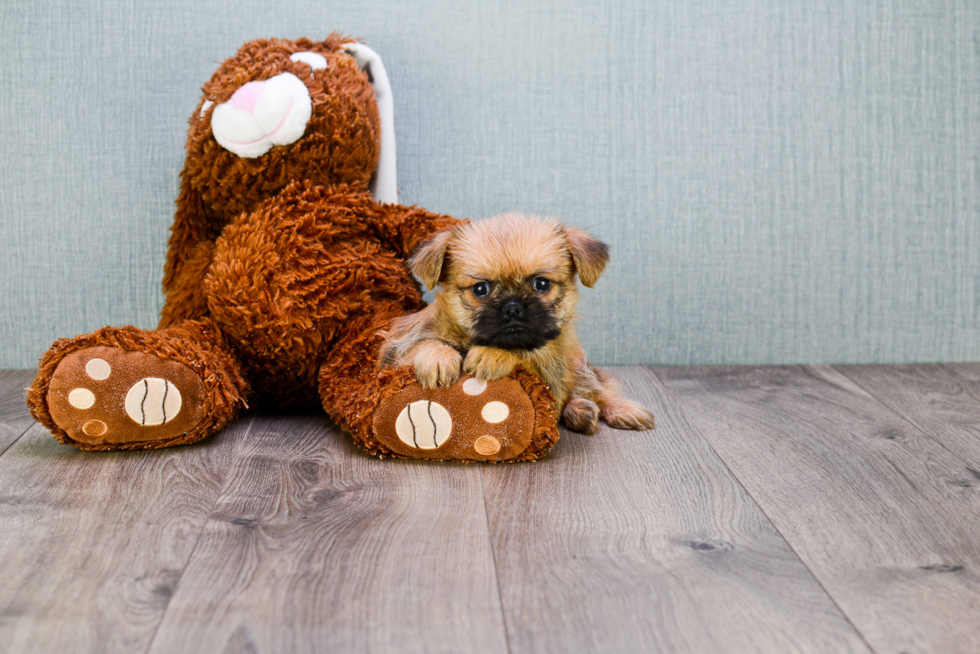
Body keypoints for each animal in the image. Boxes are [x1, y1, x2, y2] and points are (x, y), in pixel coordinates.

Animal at [378, 214, 656, 436]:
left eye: (541, 284)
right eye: (480, 289)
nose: (512, 307)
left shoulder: (551, 367)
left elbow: (527, 353)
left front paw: (491, 355)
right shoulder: (395, 350)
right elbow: (422, 344)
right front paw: (438, 357)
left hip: (580, 365)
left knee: (599, 388)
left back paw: (619, 409)